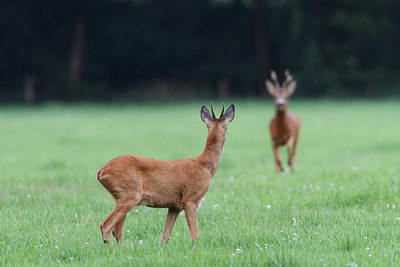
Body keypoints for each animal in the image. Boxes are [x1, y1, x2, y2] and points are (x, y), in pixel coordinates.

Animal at [97, 103, 234, 245]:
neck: (204, 166)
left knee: (117, 230)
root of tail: (102, 170)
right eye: (227, 126)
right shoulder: (191, 199)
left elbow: (165, 236)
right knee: (106, 225)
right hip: (130, 195)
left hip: (121, 197)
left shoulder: (174, 206)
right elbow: (195, 235)